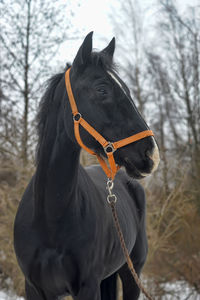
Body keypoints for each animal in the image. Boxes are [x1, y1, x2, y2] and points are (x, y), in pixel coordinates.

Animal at [14, 32, 159, 300]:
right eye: (102, 89)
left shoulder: (88, 286)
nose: (151, 154)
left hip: (132, 272)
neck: (50, 216)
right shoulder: (34, 288)